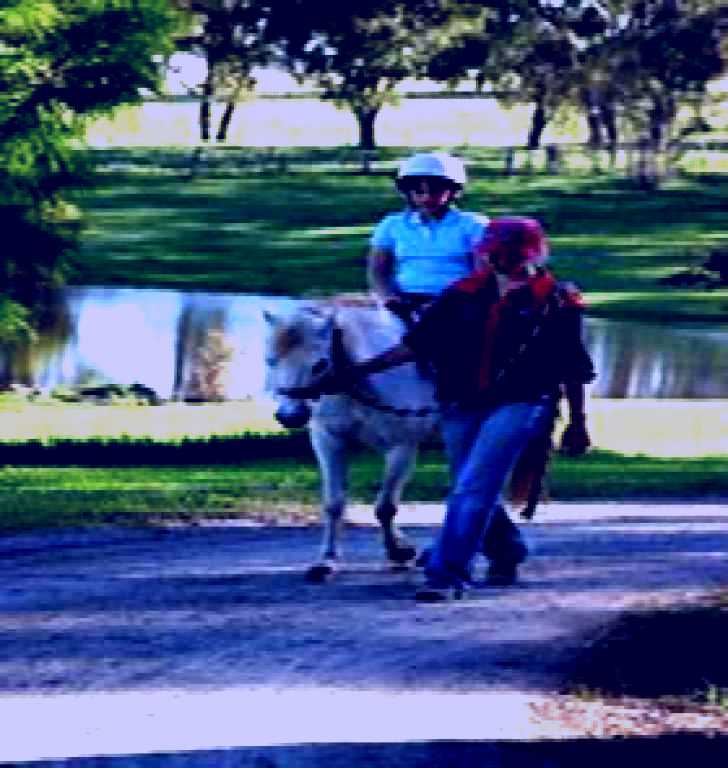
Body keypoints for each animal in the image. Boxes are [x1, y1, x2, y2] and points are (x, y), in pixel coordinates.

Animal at [263, 299, 440, 581]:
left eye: (320, 364)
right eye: (271, 360)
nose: (290, 416)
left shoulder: (401, 447)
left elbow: (385, 507)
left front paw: (397, 552)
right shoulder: (329, 441)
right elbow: (334, 504)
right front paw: (327, 560)